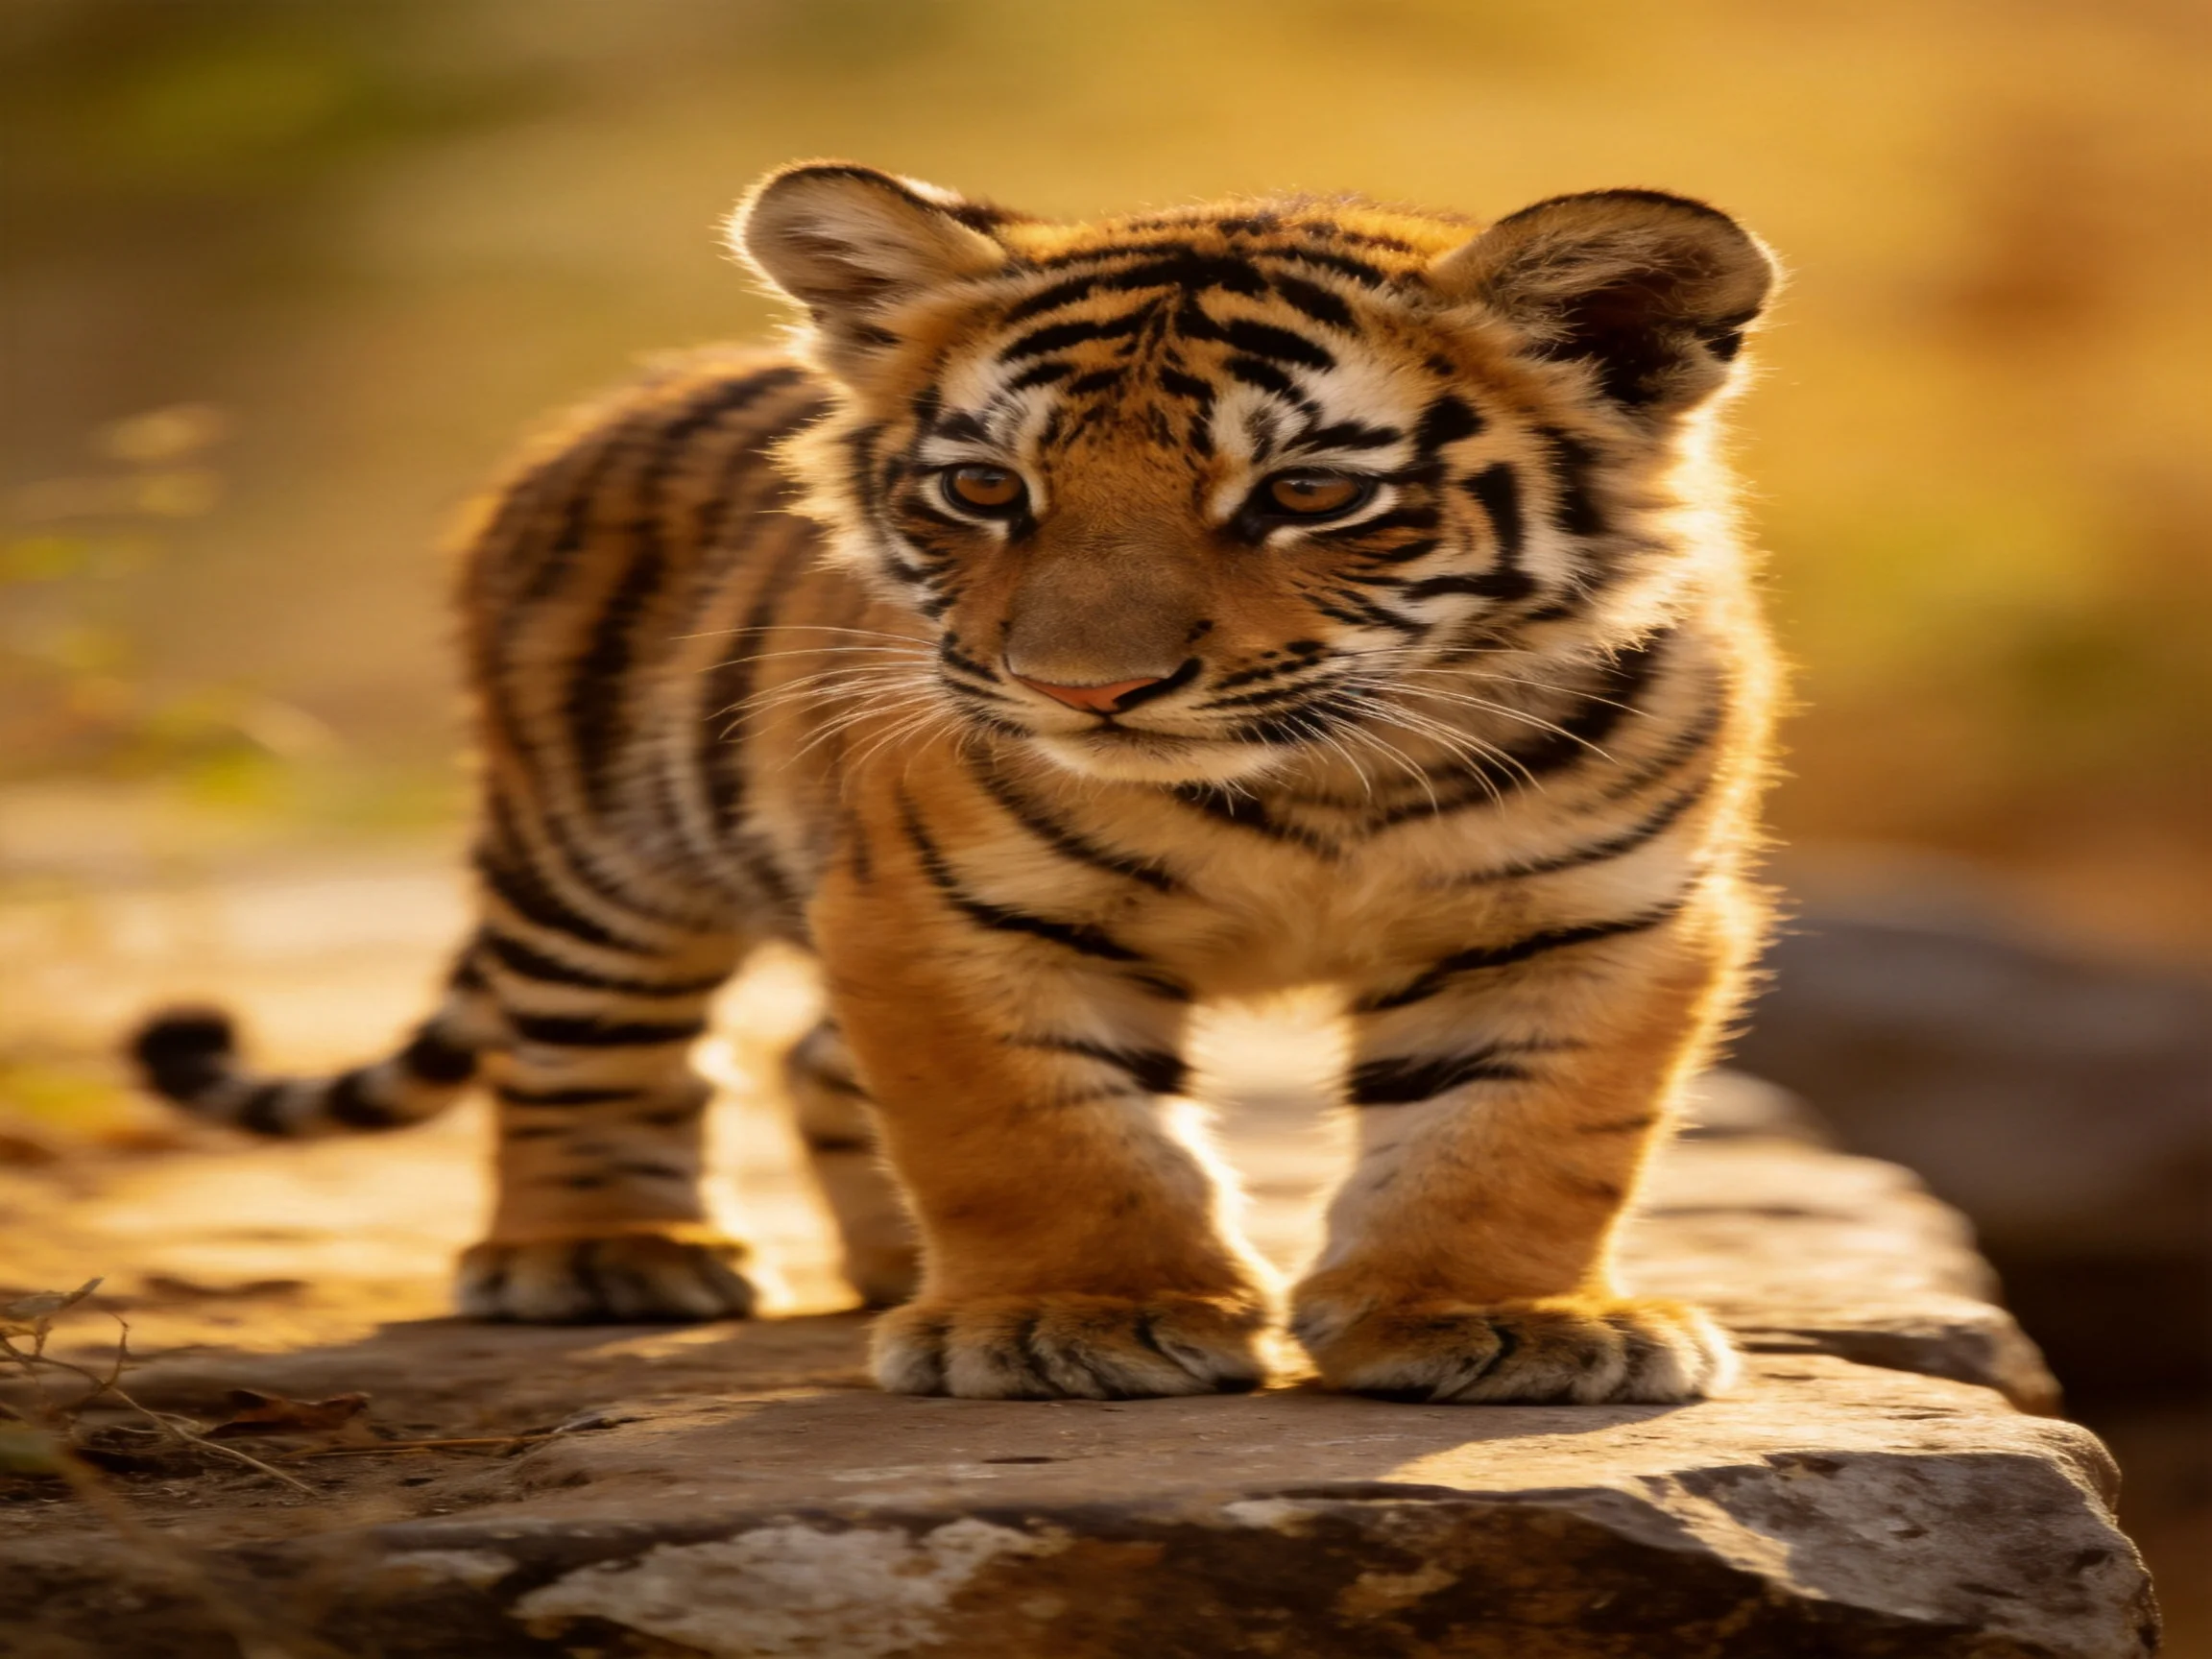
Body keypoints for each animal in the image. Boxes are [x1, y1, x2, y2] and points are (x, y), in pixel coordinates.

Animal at [131, 161, 1782, 1405]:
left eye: (1309, 494)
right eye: (986, 489)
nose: (1081, 691)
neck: (1322, 784)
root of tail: (606, 407)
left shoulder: (1599, 919)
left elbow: (1521, 1134)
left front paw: (1497, 1319)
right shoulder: (945, 906)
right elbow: (1035, 1128)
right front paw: (1075, 1317)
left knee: (806, 1059)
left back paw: (878, 1266)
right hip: (596, 857)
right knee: (589, 1049)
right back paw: (603, 1254)